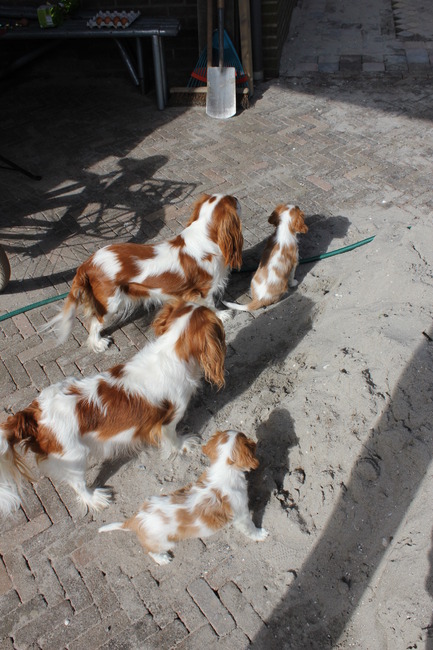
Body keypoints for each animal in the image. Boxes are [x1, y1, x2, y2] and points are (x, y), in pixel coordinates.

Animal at [0, 300, 227, 517]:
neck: (171, 350)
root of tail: (32, 414)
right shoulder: (167, 420)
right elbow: (172, 439)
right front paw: (183, 445)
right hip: (74, 455)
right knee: (77, 484)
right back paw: (93, 498)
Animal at [44, 194, 243, 352]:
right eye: (233, 201)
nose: (237, 198)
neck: (203, 237)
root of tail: (87, 264)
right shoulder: (204, 288)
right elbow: (210, 303)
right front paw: (221, 314)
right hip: (110, 302)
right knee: (94, 322)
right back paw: (98, 343)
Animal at [99, 430, 268, 565]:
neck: (223, 471)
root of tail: (136, 519)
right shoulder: (242, 516)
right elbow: (250, 529)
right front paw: (260, 534)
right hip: (164, 542)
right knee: (150, 551)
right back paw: (162, 559)